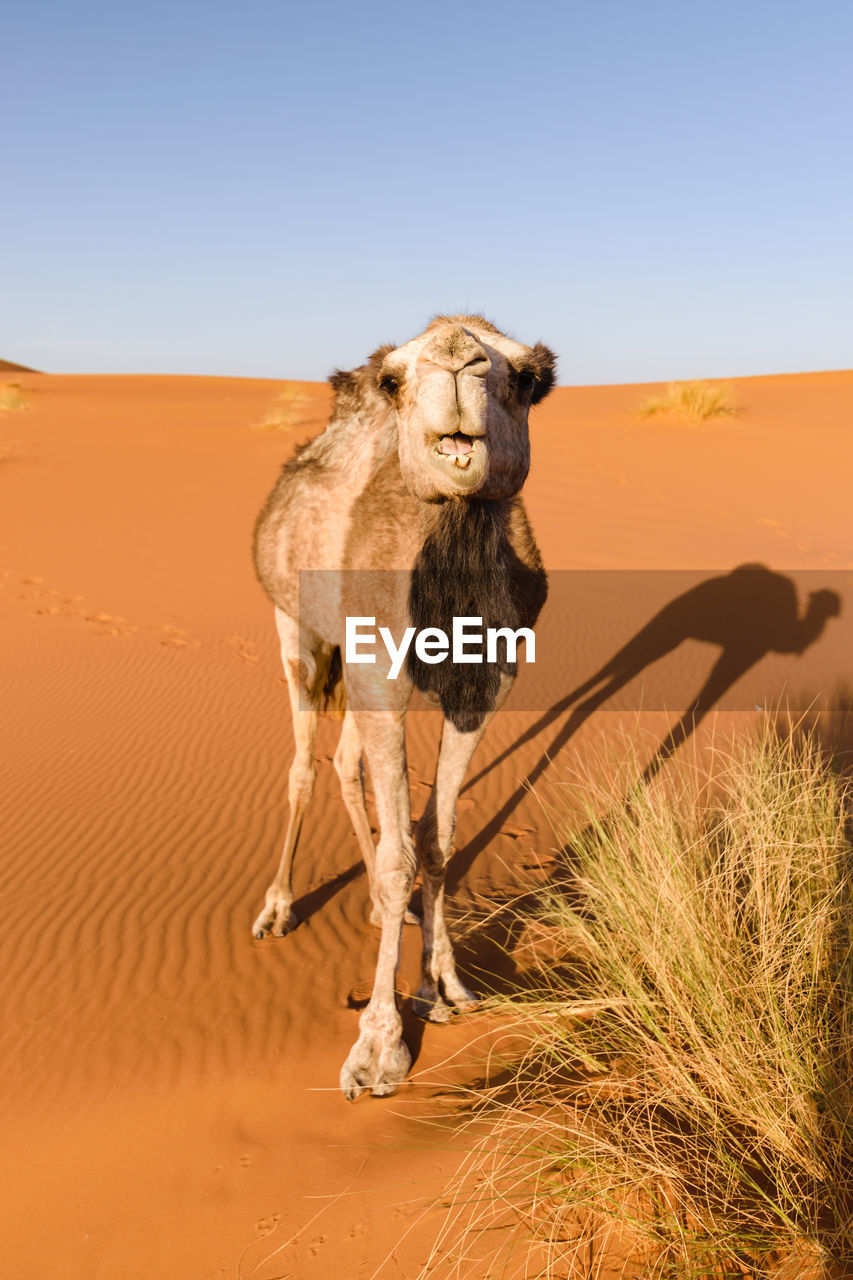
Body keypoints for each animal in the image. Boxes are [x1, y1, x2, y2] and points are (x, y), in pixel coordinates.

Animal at [249, 312, 555, 1100]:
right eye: (393, 379)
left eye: (527, 377)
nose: (456, 359)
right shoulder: (376, 672)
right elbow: (398, 855)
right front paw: (377, 1048)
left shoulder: (484, 685)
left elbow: (435, 837)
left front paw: (443, 986)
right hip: (294, 625)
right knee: (304, 762)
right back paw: (278, 908)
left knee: (348, 764)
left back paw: (385, 909)